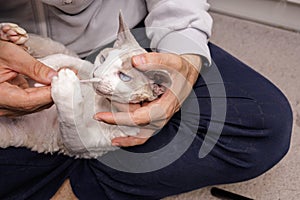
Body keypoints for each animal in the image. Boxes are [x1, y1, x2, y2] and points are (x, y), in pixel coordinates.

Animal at [0, 13, 171, 159]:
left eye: (124, 77)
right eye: (103, 59)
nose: (97, 74)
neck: (101, 102)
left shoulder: (87, 144)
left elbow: (71, 118)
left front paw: (66, 87)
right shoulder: (87, 69)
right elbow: (69, 60)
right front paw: (47, 66)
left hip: (11, 134)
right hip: (53, 45)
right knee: (48, 45)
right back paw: (10, 34)